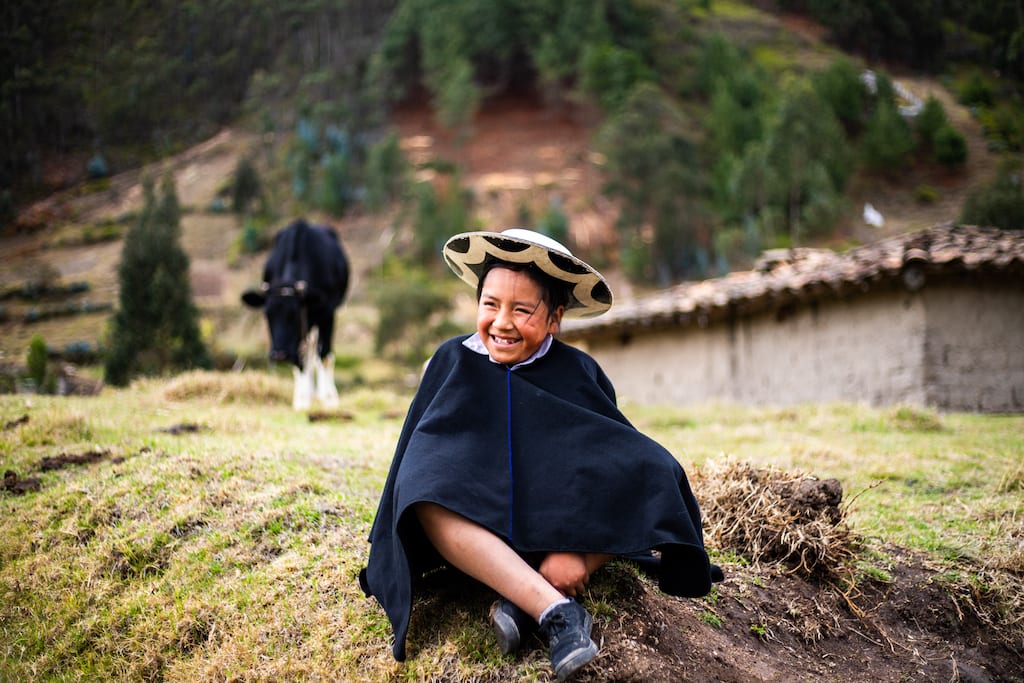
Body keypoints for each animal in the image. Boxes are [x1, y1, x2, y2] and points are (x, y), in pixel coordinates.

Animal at [242, 222, 352, 409]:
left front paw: (329, 399)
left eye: (293, 314)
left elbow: (325, 356)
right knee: (308, 353)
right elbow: (300, 359)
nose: (279, 355)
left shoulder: (327, 313)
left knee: (317, 353)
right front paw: (301, 400)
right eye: (267, 314)